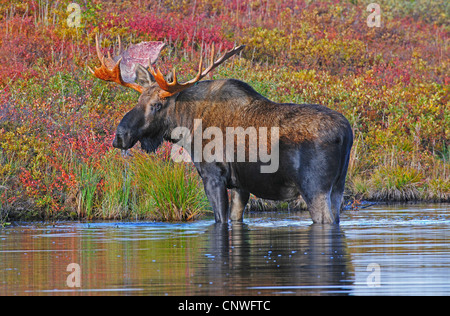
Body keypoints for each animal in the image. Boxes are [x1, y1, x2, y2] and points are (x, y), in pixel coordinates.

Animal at [89, 36, 354, 225]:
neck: (188, 124)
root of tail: (346, 133)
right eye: (138, 101)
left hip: (314, 187)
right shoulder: (240, 186)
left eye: (156, 105)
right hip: (338, 187)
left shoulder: (213, 176)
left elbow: (219, 220)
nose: (120, 136)